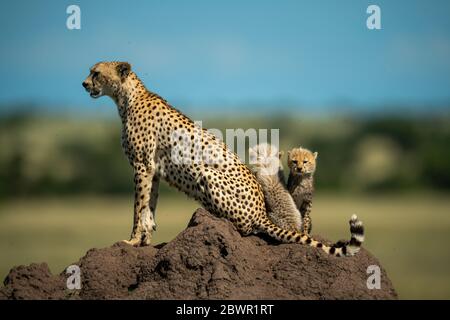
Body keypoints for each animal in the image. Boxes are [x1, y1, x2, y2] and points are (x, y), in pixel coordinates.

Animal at [82, 62, 364, 258]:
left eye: (95, 72)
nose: (84, 84)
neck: (126, 97)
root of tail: (262, 212)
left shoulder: (142, 166)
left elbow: (137, 207)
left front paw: (131, 240)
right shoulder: (153, 170)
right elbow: (149, 205)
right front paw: (144, 240)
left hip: (206, 173)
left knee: (245, 228)